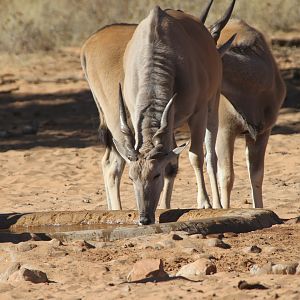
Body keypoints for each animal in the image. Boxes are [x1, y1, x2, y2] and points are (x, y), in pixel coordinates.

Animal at [81, 3, 236, 224]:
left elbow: (193, 156)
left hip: (212, 104)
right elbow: (173, 161)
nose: (144, 218)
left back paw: (216, 202)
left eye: (156, 175)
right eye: (132, 178)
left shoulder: (196, 113)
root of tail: (86, 49)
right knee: (113, 163)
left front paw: (204, 203)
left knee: (210, 154)